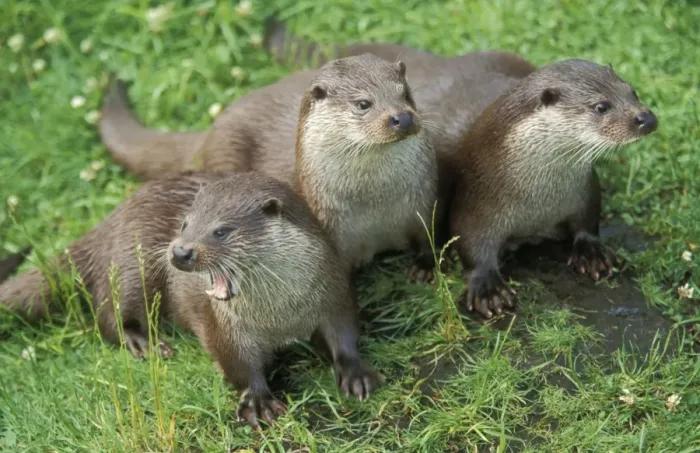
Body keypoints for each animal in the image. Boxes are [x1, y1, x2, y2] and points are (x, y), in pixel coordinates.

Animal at [0, 172, 381, 428]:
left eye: (221, 230)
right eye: (185, 223)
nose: (180, 251)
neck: (281, 314)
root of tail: (111, 220)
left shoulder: (333, 293)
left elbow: (345, 334)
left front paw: (355, 373)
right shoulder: (226, 328)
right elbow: (238, 365)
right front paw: (258, 401)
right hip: (132, 264)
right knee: (109, 313)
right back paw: (143, 343)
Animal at [99, 54, 439, 276]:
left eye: (405, 93)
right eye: (363, 104)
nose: (402, 117)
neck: (375, 207)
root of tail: (212, 131)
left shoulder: (423, 202)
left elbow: (429, 239)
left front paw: (424, 268)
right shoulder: (330, 230)